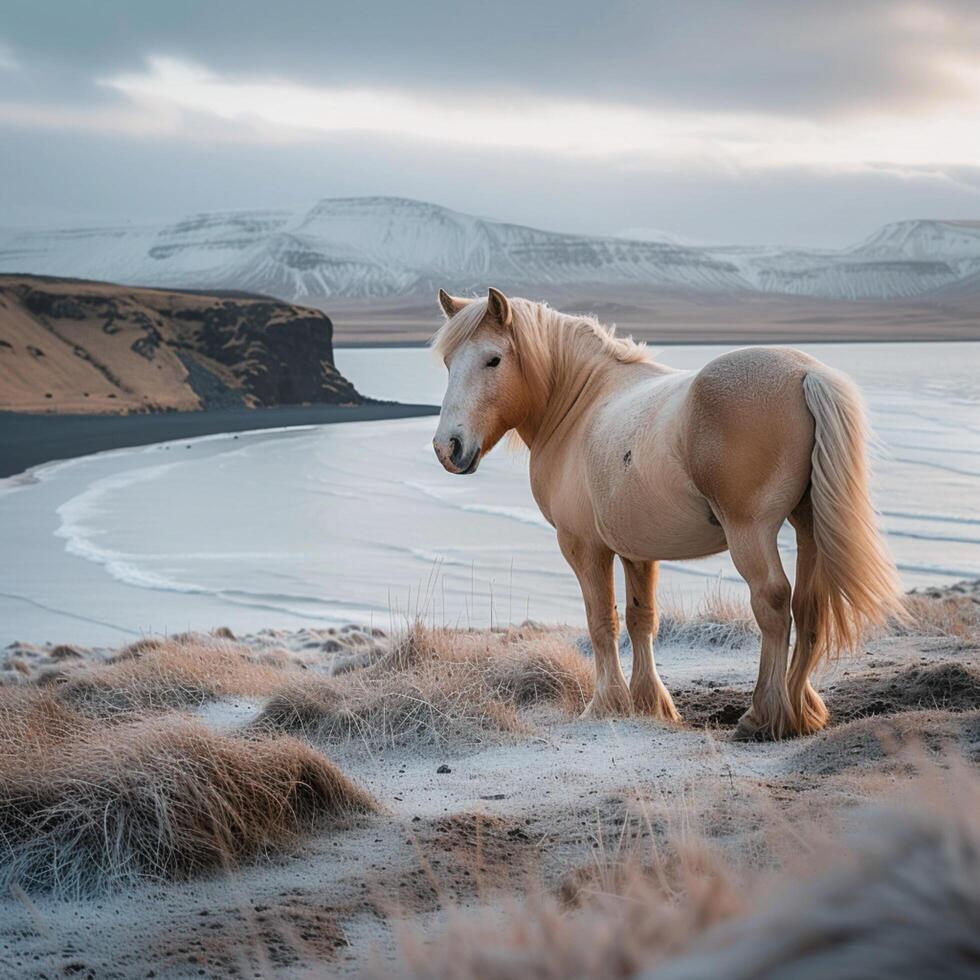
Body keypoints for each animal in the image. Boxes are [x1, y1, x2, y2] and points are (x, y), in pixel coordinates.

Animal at [432, 288, 908, 740]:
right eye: (448, 363)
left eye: (493, 359)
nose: (447, 448)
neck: (579, 405)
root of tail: (805, 372)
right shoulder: (637, 550)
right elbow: (640, 619)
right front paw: (650, 703)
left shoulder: (583, 546)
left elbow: (601, 621)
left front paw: (606, 704)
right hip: (807, 524)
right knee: (809, 605)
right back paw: (801, 711)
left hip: (750, 532)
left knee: (773, 602)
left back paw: (763, 716)